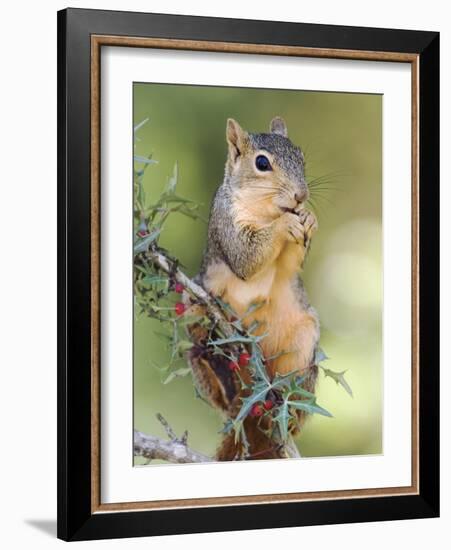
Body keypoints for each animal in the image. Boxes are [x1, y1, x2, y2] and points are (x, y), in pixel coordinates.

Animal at [185, 118, 320, 464]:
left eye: (301, 156)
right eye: (262, 163)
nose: (301, 195)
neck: (267, 211)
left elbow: (291, 263)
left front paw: (309, 218)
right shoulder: (226, 223)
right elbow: (247, 257)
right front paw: (285, 225)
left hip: (303, 342)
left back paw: (286, 407)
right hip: (193, 309)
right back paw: (221, 376)